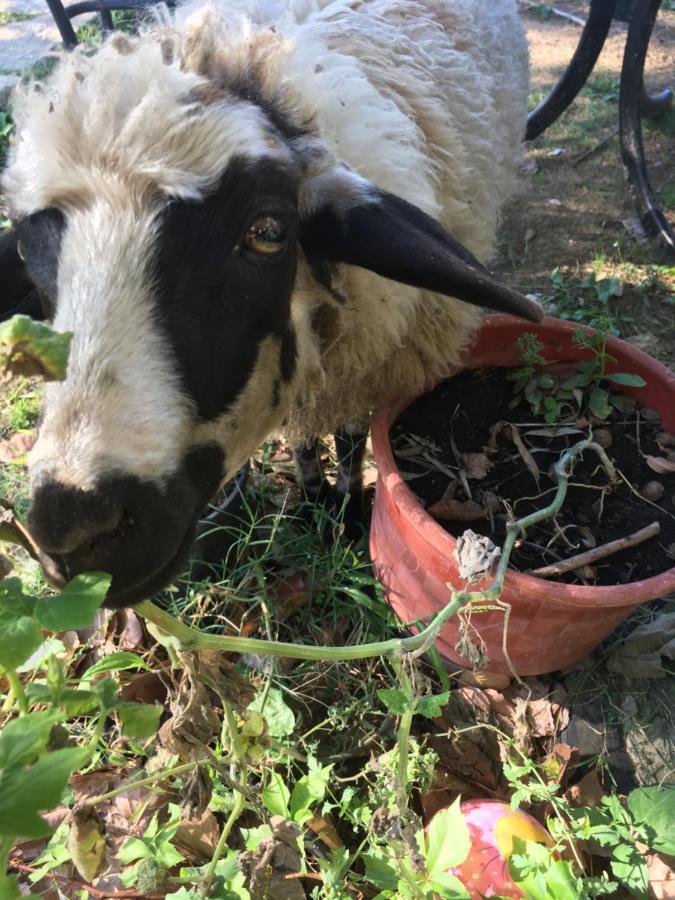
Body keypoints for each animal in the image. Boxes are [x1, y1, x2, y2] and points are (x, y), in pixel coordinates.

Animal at [0, 0, 540, 608]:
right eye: (25, 249)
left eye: (267, 232)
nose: (73, 529)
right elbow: (303, 441)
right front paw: (312, 499)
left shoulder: (363, 362)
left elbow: (349, 437)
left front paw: (343, 513)